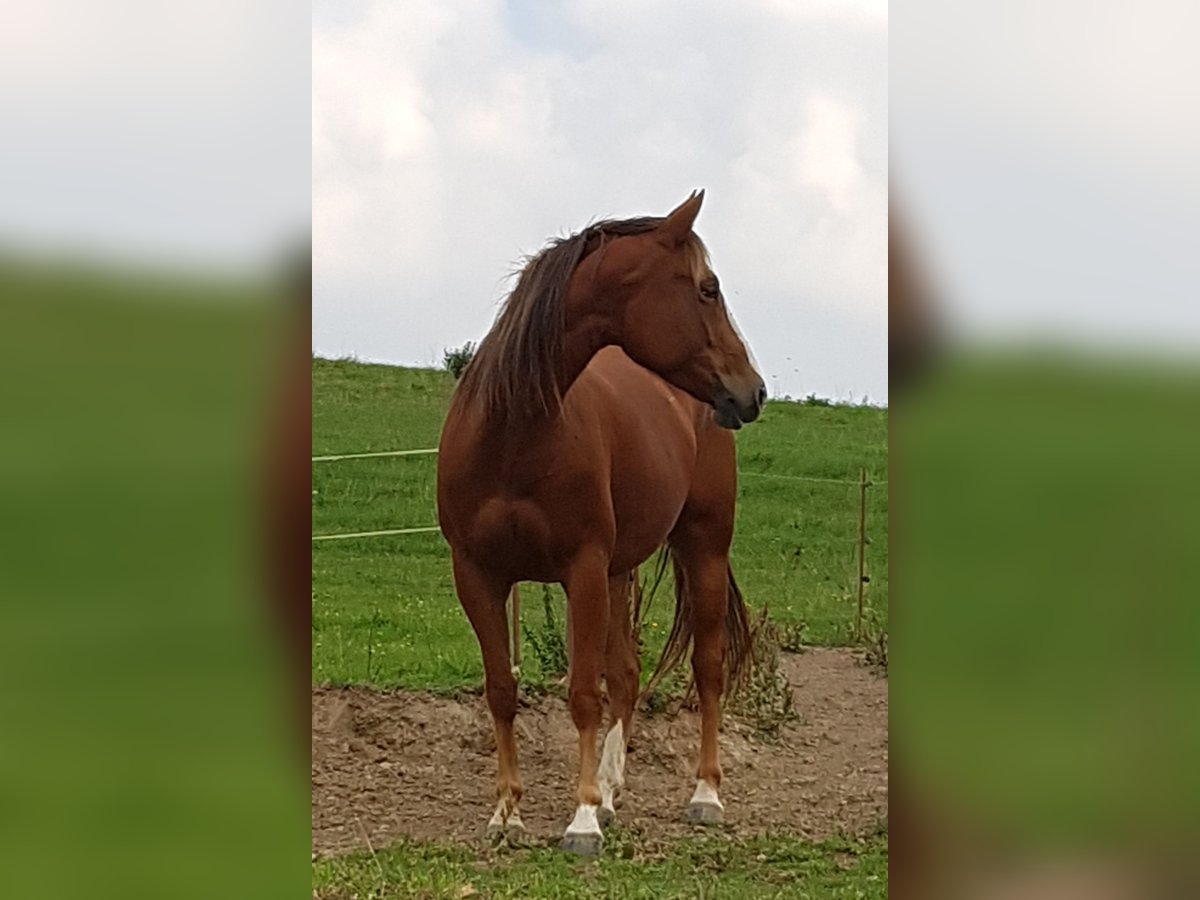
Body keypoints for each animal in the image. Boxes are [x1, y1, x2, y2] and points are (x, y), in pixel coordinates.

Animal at [436, 194, 763, 854]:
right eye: (708, 288)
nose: (754, 391)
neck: (511, 435)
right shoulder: (478, 576)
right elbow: (502, 690)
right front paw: (507, 814)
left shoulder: (581, 570)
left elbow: (584, 693)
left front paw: (582, 818)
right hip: (620, 571)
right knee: (629, 674)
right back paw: (612, 792)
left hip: (703, 549)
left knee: (707, 668)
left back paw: (704, 795)